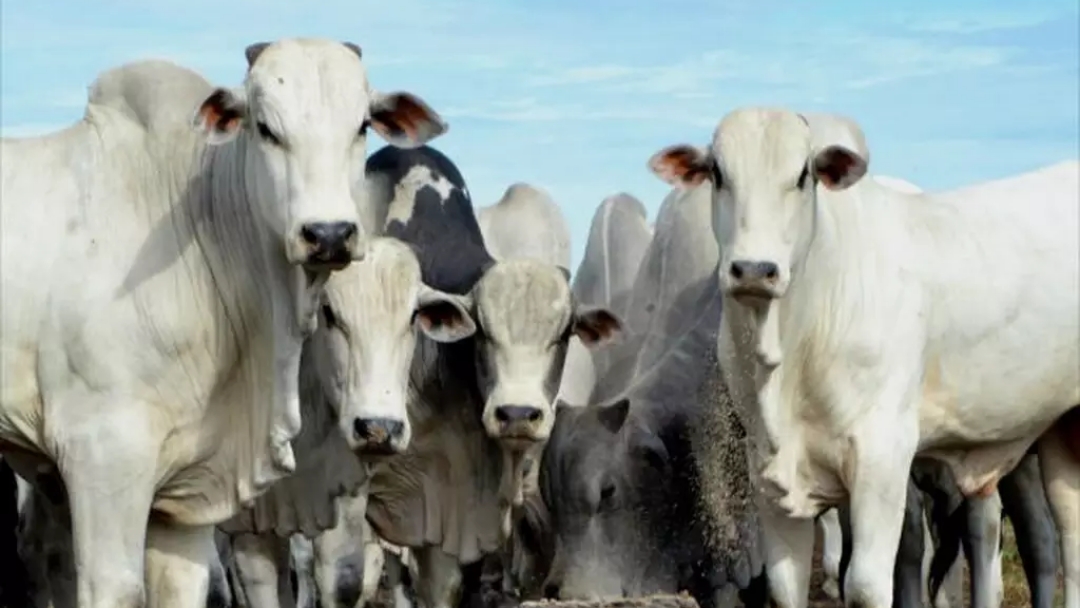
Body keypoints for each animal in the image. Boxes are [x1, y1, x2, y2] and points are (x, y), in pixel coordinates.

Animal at [648, 109, 1080, 608]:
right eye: (718, 172)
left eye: (803, 174)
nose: (754, 270)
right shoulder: (768, 475)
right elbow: (785, 585)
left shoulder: (884, 456)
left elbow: (868, 584)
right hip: (1060, 432)